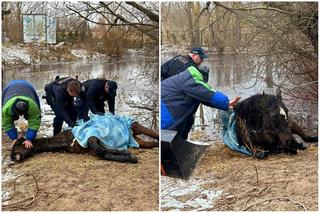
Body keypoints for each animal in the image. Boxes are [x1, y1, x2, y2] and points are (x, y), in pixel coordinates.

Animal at [10, 121, 158, 163]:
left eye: (17, 145)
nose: (12, 158)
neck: (66, 140)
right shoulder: (89, 148)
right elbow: (101, 153)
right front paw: (128, 156)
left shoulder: (92, 136)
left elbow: (100, 149)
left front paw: (129, 155)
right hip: (137, 140)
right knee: (150, 143)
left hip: (134, 126)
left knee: (153, 133)